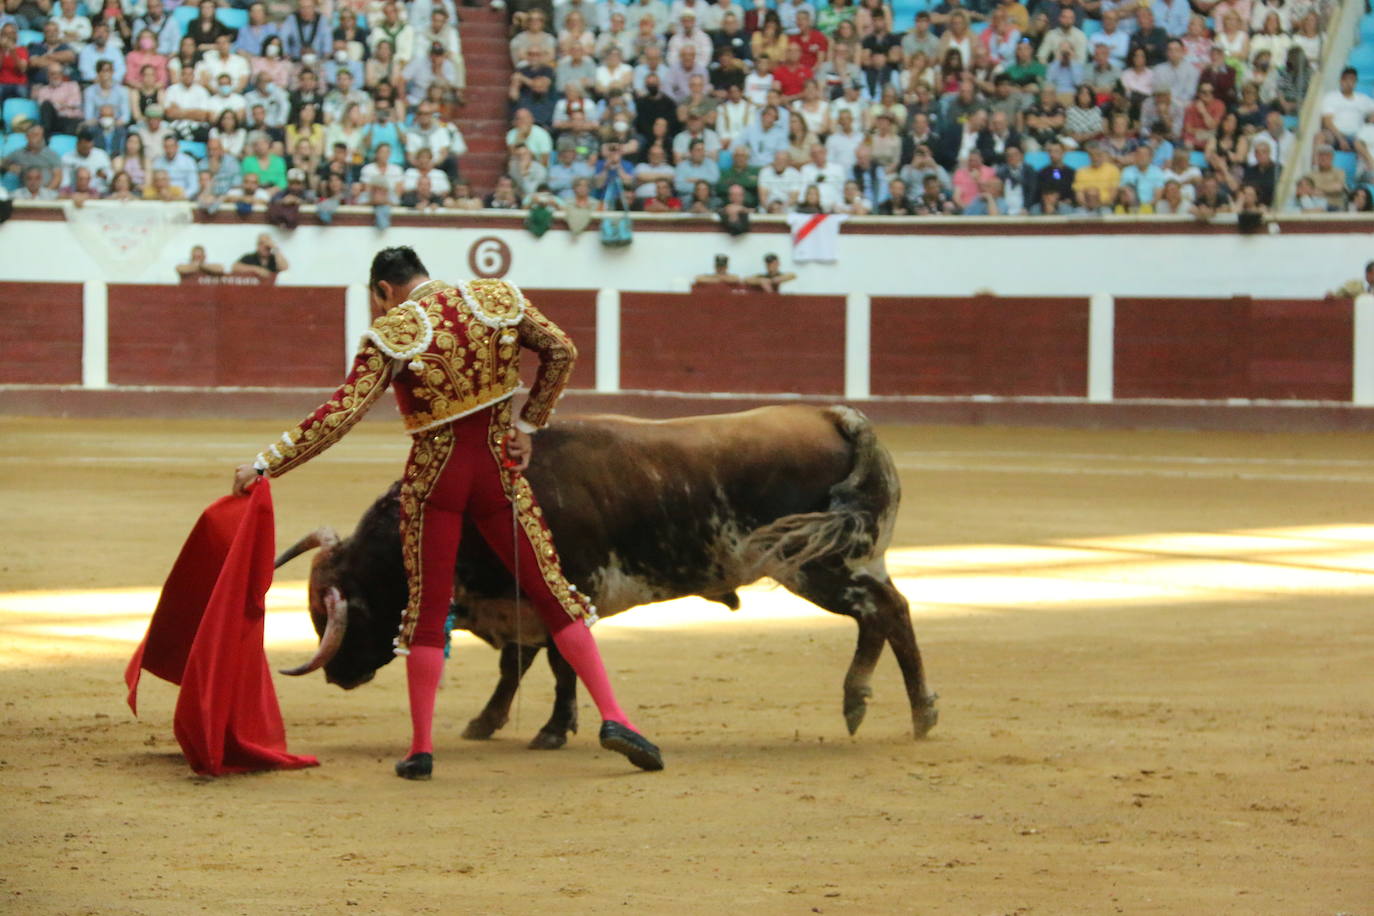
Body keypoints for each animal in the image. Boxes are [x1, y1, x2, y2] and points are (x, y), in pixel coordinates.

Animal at [273, 403, 939, 747]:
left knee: (888, 612)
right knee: (886, 613)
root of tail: (839, 417)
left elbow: (560, 663)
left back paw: (900, 709)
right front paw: (488, 722)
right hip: (849, 559)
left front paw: (551, 730)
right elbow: (517, 666)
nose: (336, 676)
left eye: (343, 612)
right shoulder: (517, 605)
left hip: (818, 563)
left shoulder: (566, 590)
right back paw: (880, 707)